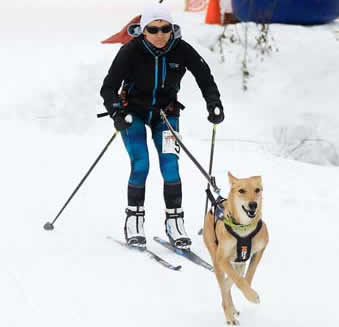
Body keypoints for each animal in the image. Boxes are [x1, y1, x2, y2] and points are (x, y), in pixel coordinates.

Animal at [203, 173, 270, 326]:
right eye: (241, 190)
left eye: (257, 190)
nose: (253, 204)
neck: (244, 228)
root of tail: (217, 201)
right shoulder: (221, 259)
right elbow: (237, 281)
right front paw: (252, 296)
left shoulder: (260, 250)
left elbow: (247, 277)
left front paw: (249, 293)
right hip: (216, 258)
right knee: (225, 284)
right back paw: (229, 316)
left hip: (239, 262)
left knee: (230, 281)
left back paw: (231, 308)